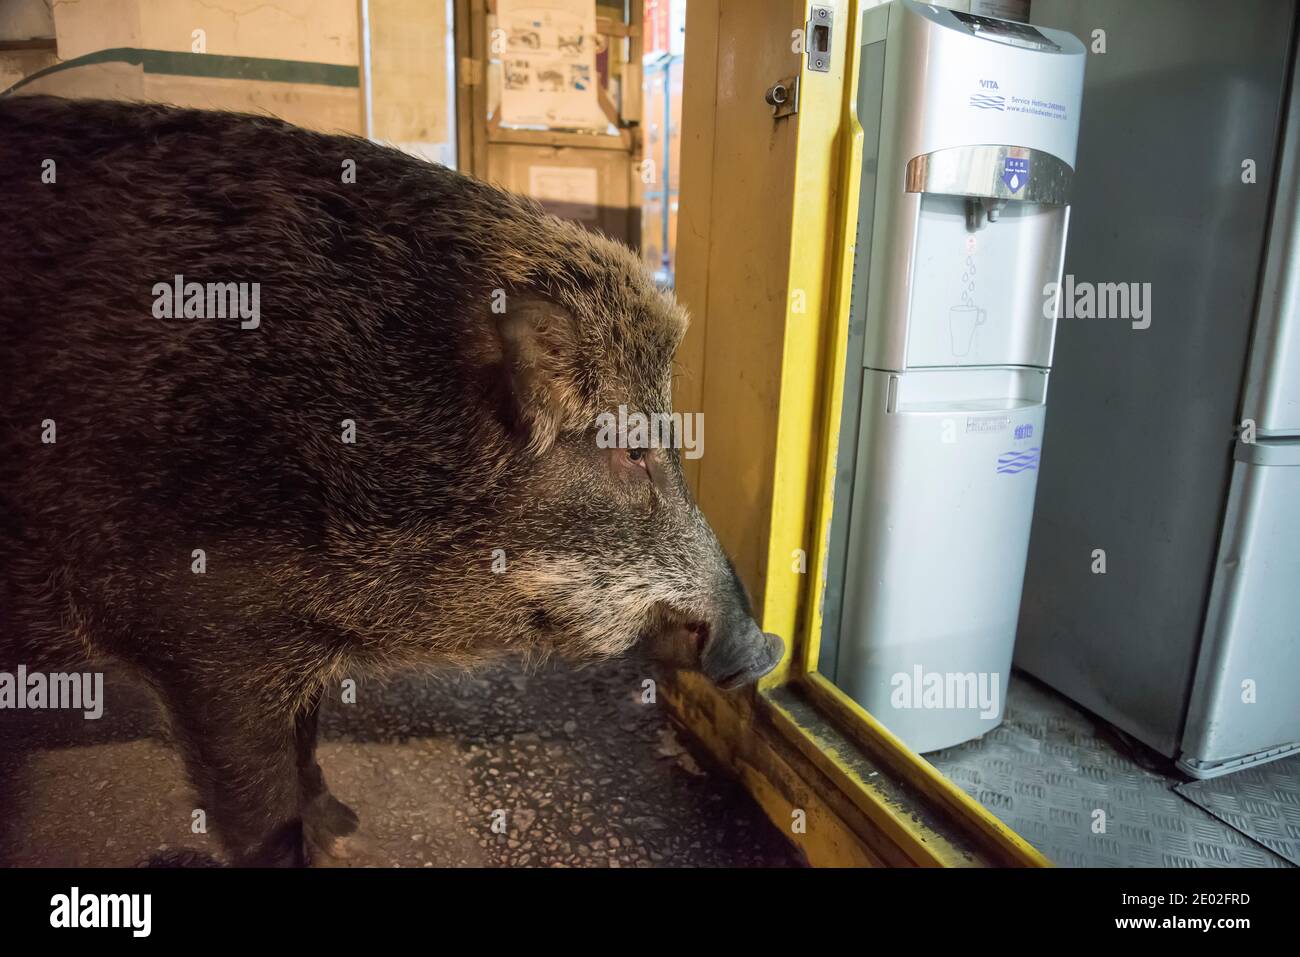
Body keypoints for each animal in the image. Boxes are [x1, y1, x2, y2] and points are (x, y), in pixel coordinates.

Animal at [0, 95, 784, 866]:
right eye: (631, 451)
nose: (765, 647)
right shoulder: (202, 637)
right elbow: (263, 813)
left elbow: (307, 739)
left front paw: (344, 827)